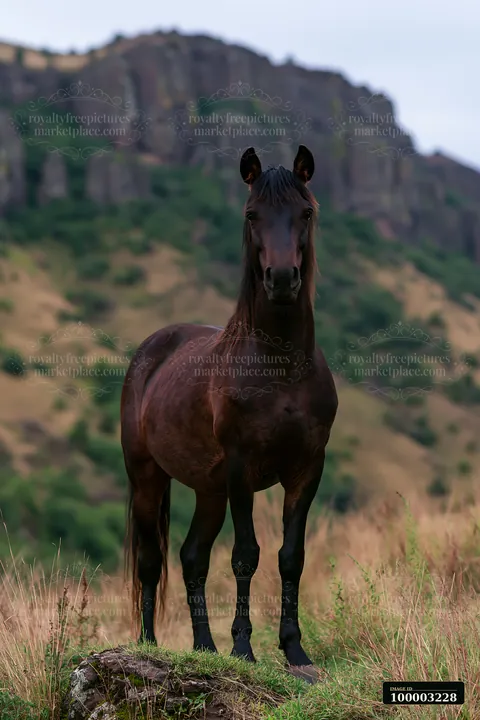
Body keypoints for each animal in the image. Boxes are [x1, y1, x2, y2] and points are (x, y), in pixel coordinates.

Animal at [121, 145, 338, 683]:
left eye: (305, 213)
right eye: (251, 214)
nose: (281, 280)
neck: (281, 367)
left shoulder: (307, 469)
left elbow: (290, 557)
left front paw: (295, 653)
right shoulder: (243, 468)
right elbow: (246, 556)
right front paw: (244, 649)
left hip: (208, 490)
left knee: (191, 558)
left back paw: (205, 648)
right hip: (148, 477)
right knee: (151, 560)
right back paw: (149, 644)